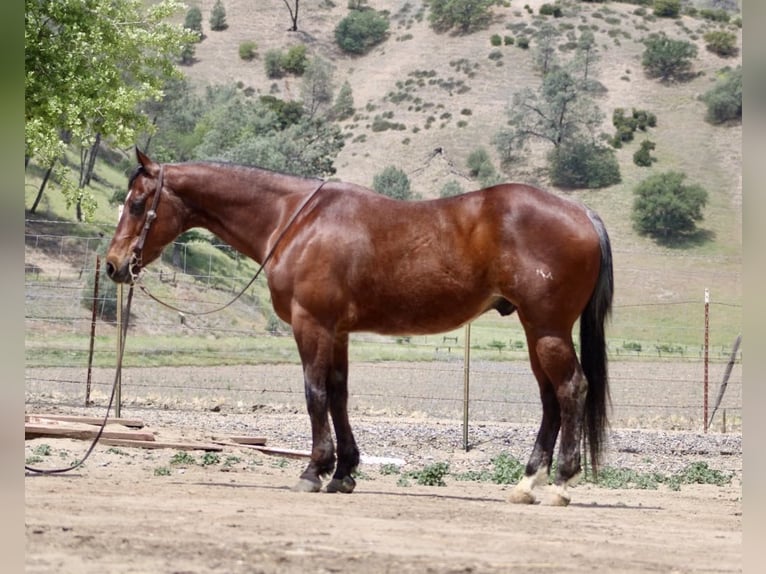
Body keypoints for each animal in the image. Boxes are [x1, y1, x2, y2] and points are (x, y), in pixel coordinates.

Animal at [106, 148, 613, 506]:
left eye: (137, 204)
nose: (113, 265)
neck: (296, 220)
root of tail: (581, 212)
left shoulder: (312, 324)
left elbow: (315, 394)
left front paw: (313, 471)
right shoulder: (338, 331)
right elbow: (339, 394)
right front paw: (344, 472)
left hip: (547, 329)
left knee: (570, 389)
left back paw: (560, 483)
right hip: (536, 330)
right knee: (550, 399)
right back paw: (528, 483)